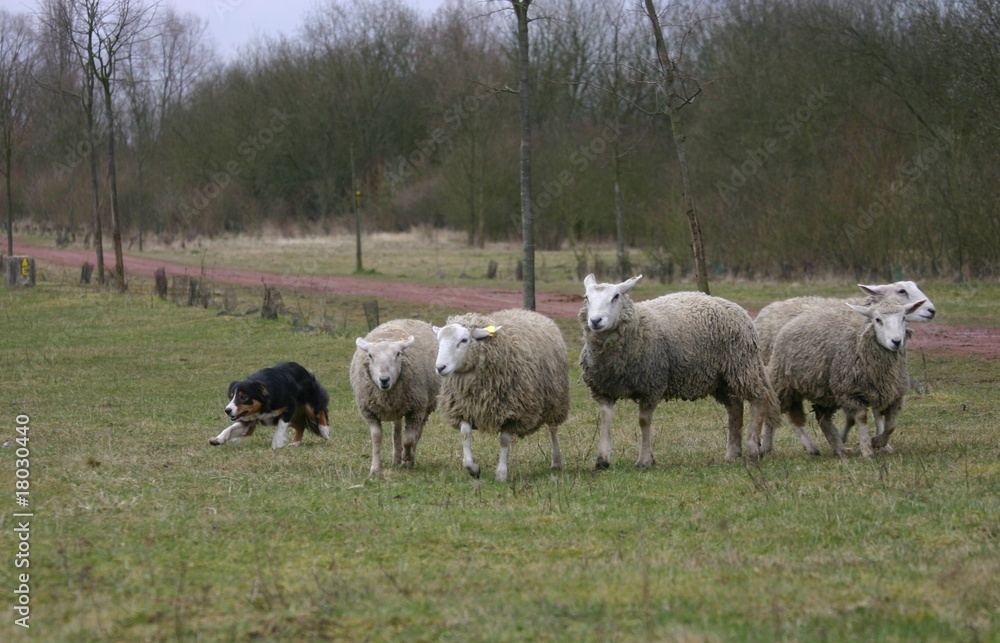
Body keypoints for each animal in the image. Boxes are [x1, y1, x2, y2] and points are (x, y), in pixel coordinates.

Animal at [350, 319, 440, 477]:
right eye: (370, 355)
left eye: (398, 354)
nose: (384, 379)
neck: (387, 394)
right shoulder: (369, 412)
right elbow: (376, 438)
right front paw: (375, 469)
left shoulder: (416, 410)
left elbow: (409, 439)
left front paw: (407, 457)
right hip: (398, 408)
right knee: (396, 430)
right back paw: (396, 459)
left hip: (425, 407)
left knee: (417, 433)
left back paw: (407, 460)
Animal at [433, 309, 569, 482]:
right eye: (439, 341)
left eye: (464, 340)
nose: (440, 367)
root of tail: (527, 311)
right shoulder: (464, 409)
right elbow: (465, 434)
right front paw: (473, 469)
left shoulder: (513, 412)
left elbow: (504, 442)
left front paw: (501, 474)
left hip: (556, 401)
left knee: (553, 430)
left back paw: (556, 461)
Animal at [579, 274, 781, 469]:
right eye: (586, 298)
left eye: (615, 296)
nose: (595, 321)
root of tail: (738, 309)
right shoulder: (603, 389)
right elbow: (605, 418)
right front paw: (602, 460)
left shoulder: (652, 385)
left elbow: (644, 421)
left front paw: (644, 460)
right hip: (721, 377)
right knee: (735, 408)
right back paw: (733, 452)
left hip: (742, 365)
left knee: (759, 398)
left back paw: (753, 447)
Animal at [754, 281, 935, 443]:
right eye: (901, 291)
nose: (932, 310)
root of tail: (769, 308)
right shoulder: (851, 378)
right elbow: (855, 416)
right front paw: (848, 438)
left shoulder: (876, 378)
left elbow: (875, 413)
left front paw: (882, 442)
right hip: (780, 373)